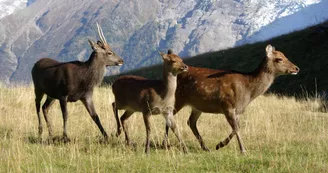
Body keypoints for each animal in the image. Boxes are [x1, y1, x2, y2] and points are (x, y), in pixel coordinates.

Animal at [163, 44, 298, 153]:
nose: (296, 68)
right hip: (178, 98)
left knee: (190, 122)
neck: (248, 91)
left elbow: (237, 127)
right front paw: (241, 150)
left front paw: (220, 145)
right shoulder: (227, 105)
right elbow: (236, 128)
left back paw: (205, 147)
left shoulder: (237, 110)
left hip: (197, 106)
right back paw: (165, 143)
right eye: (279, 59)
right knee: (170, 117)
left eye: (285, 55)